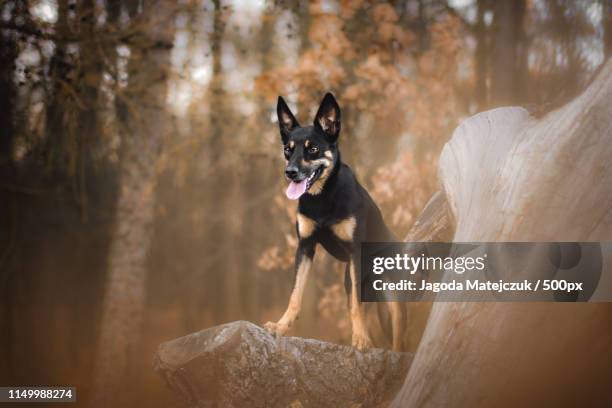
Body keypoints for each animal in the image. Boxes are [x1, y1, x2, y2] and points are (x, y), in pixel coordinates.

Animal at [262, 92, 402, 350]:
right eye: (287, 150)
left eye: (313, 149)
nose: (290, 172)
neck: (323, 196)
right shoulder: (305, 247)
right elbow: (295, 295)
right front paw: (281, 326)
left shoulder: (355, 251)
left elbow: (356, 306)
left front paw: (360, 339)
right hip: (352, 281)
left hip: (391, 291)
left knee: (398, 331)